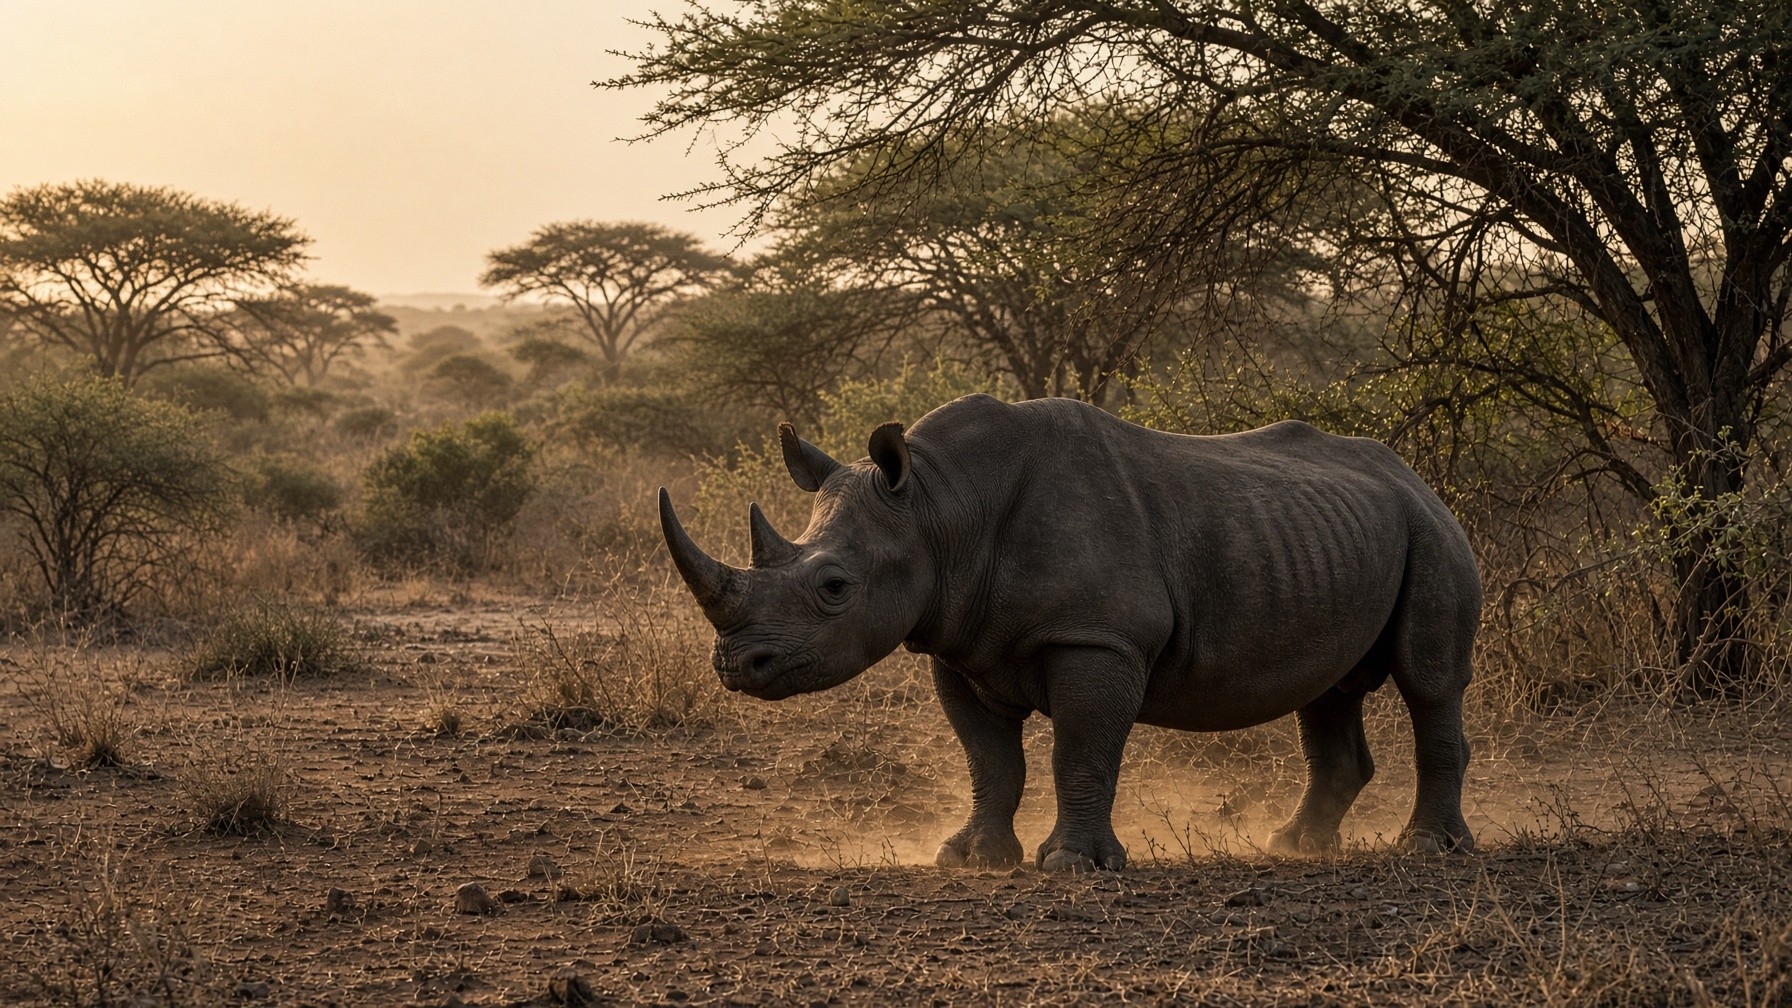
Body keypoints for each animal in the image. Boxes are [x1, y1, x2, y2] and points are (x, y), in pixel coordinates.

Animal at [659, 394, 1478, 870]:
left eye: (834, 589)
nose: (734, 664)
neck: (938, 506)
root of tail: (1415, 476)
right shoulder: (959, 646)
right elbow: (991, 762)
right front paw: (971, 859)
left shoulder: (1097, 637)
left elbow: (1080, 751)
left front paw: (1072, 866)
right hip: (1334, 536)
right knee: (1329, 689)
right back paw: (1295, 847)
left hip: (1432, 533)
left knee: (1429, 680)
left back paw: (1427, 850)